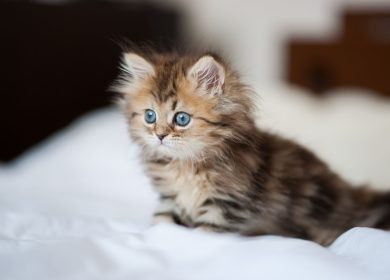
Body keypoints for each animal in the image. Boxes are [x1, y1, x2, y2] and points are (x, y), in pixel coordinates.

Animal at [112, 50, 390, 245]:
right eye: (149, 116)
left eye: (181, 119)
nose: (159, 136)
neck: (186, 165)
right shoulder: (170, 199)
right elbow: (162, 223)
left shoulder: (224, 206)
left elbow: (202, 233)